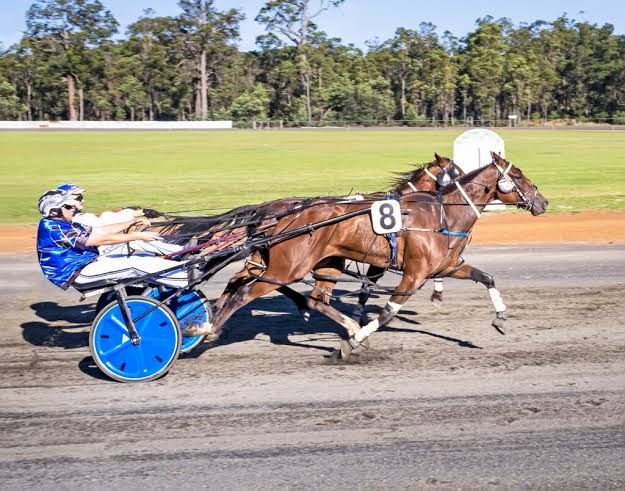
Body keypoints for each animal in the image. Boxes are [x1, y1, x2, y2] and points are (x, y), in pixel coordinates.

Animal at [189, 151, 544, 358]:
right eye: (519, 176)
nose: (543, 202)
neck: (440, 214)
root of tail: (277, 212)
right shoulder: (412, 274)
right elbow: (385, 311)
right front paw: (355, 338)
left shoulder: (447, 265)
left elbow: (487, 277)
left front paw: (500, 317)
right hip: (286, 268)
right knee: (244, 293)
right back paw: (204, 329)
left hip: (315, 264)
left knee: (295, 295)